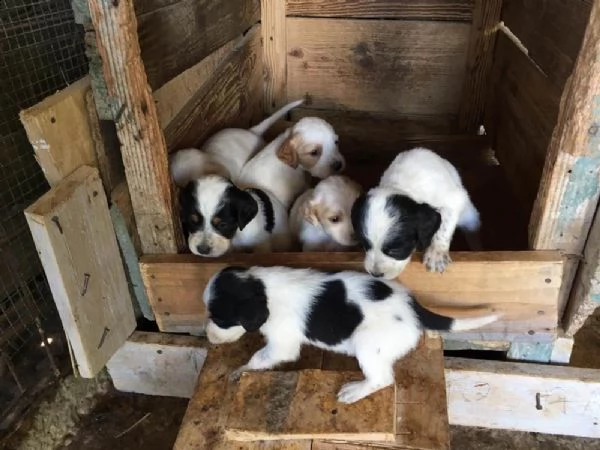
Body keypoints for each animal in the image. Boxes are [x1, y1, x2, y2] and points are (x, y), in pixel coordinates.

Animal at [204, 266, 500, 406]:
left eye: (220, 319)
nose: (208, 337)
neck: (261, 287)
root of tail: (414, 307)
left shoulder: (281, 345)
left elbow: (257, 358)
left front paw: (240, 370)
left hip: (368, 345)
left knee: (382, 379)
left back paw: (355, 391)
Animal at [350, 148, 480, 280]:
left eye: (396, 250)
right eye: (365, 245)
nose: (375, 274)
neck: (402, 186)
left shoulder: (454, 200)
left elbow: (444, 227)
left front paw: (436, 253)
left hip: (470, 217)